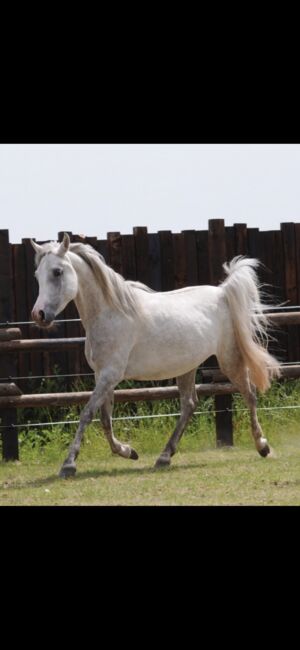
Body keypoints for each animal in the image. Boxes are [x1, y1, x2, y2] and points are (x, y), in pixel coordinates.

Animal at [29, 233, 278, 476]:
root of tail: (223, 292)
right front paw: (128, 452)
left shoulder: (110, 375)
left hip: (229, 359)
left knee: (249, 394)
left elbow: (87, 414)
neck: (111, 313)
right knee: (189, 404)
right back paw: (164, 457)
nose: (39, 314)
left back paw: (262, 446)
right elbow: (105, 419)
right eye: (37, 275)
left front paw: (68, 464)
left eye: (57, 271)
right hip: (187, 367)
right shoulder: (103, 375)